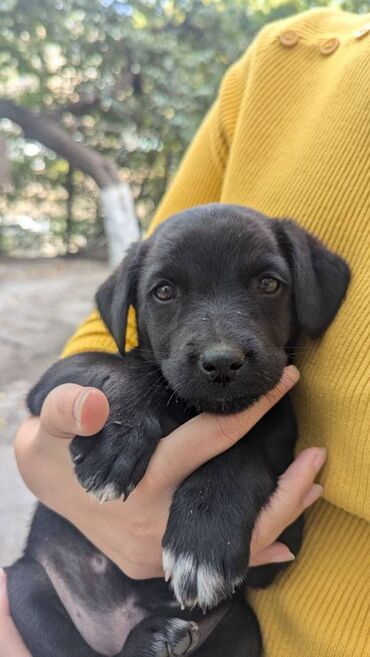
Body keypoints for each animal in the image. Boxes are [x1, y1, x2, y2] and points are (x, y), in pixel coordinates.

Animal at [5, 206, 350, 656]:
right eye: (164, 292)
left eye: (269, 284)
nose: (221, 362)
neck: (193, 411)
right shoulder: (53, 384)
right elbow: (115, 366)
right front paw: (118, 440)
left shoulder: (280, 547)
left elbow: (241, 455)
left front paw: (202, 541)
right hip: (24, 582)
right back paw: (151, 638)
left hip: (242, 623)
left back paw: (157, 637)